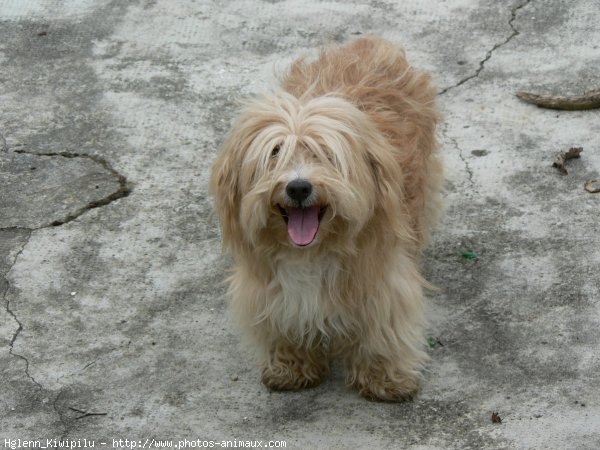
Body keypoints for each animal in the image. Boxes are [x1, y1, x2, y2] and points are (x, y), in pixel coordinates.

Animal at [210, 36, 440, 400]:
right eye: (275, 152)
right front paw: (291, 366)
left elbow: (383, 328)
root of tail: (371, 41)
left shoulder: (382, 278)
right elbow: (282, 323)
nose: (299, 187)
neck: (311, 253)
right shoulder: (271, 289)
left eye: (327, 155)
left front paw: (385, 377)